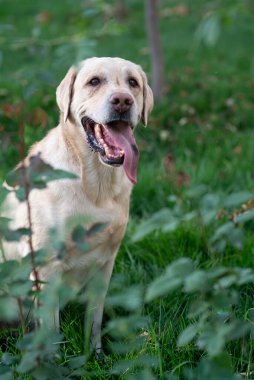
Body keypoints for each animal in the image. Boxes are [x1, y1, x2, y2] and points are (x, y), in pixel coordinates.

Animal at [2, 57, 153, 354]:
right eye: (94, 81)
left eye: (133, 82)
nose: (122, 101)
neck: (96, 184)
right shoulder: (46, 269)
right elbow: (51, 330)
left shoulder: (105, 263)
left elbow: (93, 320)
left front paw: (95, 355)